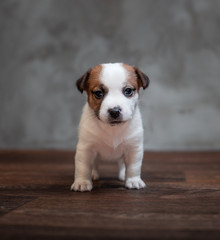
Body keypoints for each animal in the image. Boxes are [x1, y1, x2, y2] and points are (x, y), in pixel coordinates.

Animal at [70, 62, 150, 192]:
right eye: (98, 93)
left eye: (128, 91)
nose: (114, 111)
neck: (112, 129)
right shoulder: (85, 149)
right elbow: (83, 167)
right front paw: (82, 182)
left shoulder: (133, 148)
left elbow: (133, 166)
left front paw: (133, 180)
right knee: (94, 164)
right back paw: (93, 173)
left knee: (122, 164)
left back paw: (123, 174)